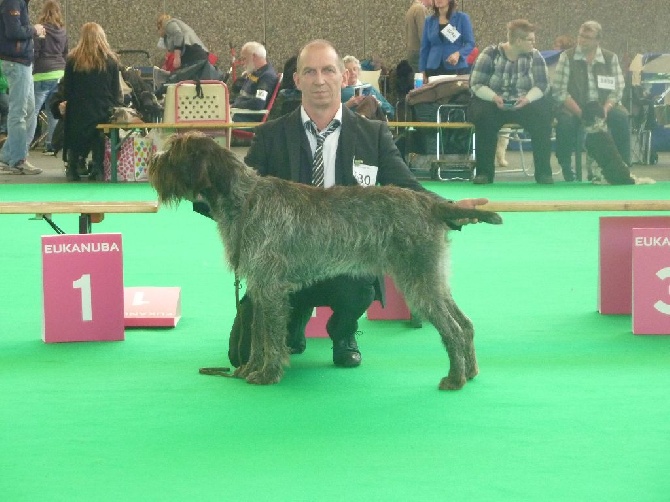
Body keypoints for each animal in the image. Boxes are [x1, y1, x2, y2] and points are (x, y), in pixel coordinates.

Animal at [151, 131, 504, 390]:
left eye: (173, 153)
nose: (152, 162)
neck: (243, 198)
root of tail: (428, 203)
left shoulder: (271, 287)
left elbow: (270, 335)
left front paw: (267, 373)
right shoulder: (262, 286)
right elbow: (259, 332)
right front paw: (250, 369)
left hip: (418, 281)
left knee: (452, 329)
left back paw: (455, 379)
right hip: (433, 278)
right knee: (465, 323)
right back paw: (471, 371)